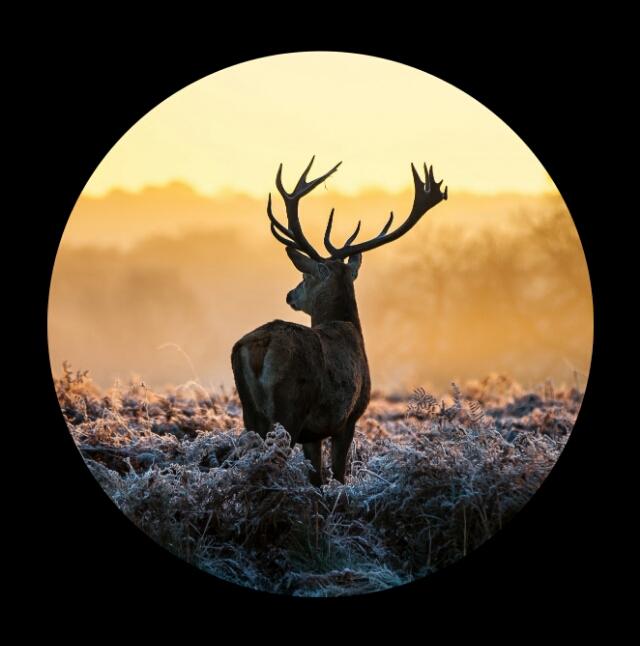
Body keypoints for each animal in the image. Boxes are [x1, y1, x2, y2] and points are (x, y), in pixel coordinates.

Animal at [231, 157, 447, 486]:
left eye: (305, 276)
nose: (290, 295)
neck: (349, 327)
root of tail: (260, 345)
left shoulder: (314, 433)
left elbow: (317, 477)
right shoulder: (348, 418)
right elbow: (338, 475)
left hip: (250, 412)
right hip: (289, 408)